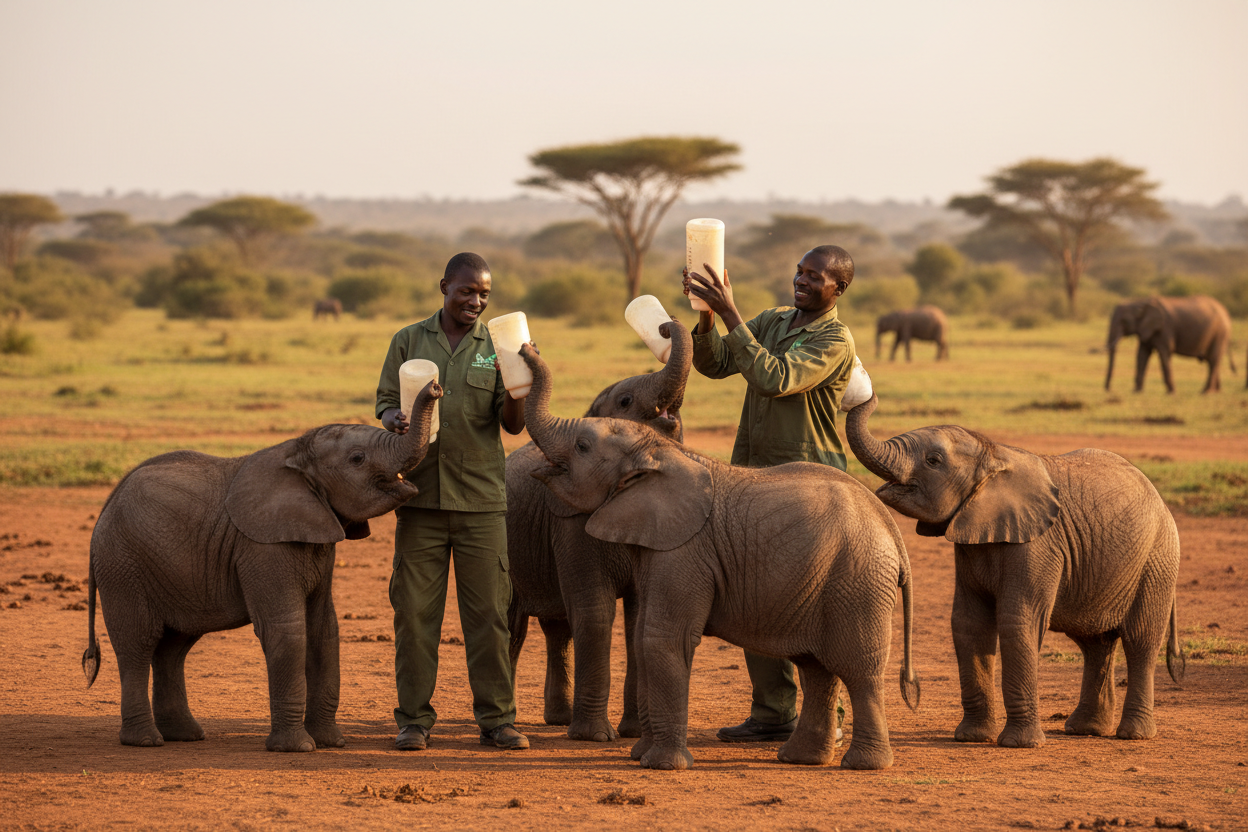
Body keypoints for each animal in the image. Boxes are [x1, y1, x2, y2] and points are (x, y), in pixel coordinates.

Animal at [82, 382, 443, 752]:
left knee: (173, 647)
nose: (435, 386)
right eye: (357, 458)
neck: (297, 454)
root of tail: (107, 503)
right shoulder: (262, 547)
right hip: (121, 563)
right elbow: (287, 631)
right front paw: (297, 748)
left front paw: (331, 743)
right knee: (138, 642)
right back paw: (145, 741)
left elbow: (324, 630)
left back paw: (185, 735)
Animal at [506, 319, 692, 742]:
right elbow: (594, 611)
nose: (665, 326)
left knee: (557, 628)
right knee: (512, 625)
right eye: (625, 401)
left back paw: (558, 719)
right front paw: (596, 737)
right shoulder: (571, 523)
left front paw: (634, 733)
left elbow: (637, 617)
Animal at [517, 339, 920, 771]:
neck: (658, 452)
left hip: (858, 580)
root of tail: (892, 531)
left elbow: (662, 638)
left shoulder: (685, 550)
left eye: (582, 446)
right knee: (816, 667)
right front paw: (641, 755)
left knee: (859, 670)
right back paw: (800, 759)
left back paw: (863, 764)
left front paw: (662, 765)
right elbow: (642, 636)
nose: (526, 347)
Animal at [845, 393, 1185, 749]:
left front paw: (1019, 743)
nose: (867, 393)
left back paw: (1133, 734)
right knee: (1094, 643)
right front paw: (971, 737)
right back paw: (1085, 729)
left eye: (933, 461)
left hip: (1158, 559)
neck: (994, 455)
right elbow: (968, 623)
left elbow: (1017, 621)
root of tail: (1161, 500)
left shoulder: (1038, 544)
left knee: (1141, 640)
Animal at [1105, 295, 1235, 393]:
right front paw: (1136, 392)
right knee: (1212, 361)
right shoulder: (1147, 329)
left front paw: (1171, 392)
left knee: (1213, 360)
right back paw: (1216, 391)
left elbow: (1164, 354)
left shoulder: (1165, 329)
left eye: (1123, 321)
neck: (1140, 302)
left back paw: (1205, 392)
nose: (1109, 389)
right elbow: (1142, 355)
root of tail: (1226, 312)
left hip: (1220, 333)